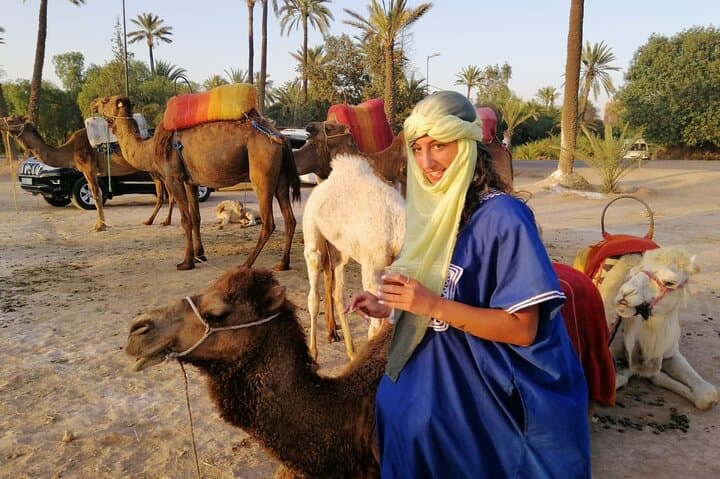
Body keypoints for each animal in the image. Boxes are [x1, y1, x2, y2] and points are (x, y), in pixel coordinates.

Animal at [92, 95, 300, 271]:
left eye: (105, 100)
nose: (92, 105)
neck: (150, 148)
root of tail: (281, 138)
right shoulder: (190, 181)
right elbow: (196, 217)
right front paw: (200, 255)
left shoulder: (173, 177)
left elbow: (185, 220)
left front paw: (186, 262)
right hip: (280, 177)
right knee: (289, 219)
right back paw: (282, 264)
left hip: (262, 172)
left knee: (268, 222)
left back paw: (246, 264)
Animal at [303, 154, 405, 360]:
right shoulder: (373, 267)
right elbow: (375, 327)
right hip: (312, 240)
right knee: (313, 297)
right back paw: (314, 353)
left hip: (339, 252)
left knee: (338, 294)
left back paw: (351, 351)